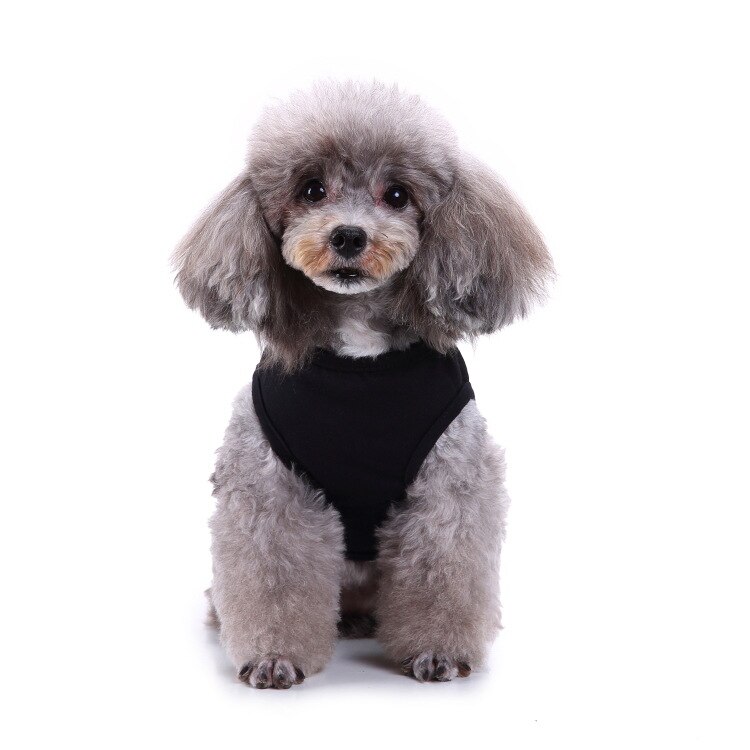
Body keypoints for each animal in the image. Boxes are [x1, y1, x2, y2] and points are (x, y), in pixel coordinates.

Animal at [173, 81, 552, 688]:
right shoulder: (270, 491)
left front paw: (437, 651)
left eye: (397, 195)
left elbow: (443, 569)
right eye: (311, 189)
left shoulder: (449, 486)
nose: (348, 236)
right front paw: (274, 656)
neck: (359, 354)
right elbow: (273, 575)